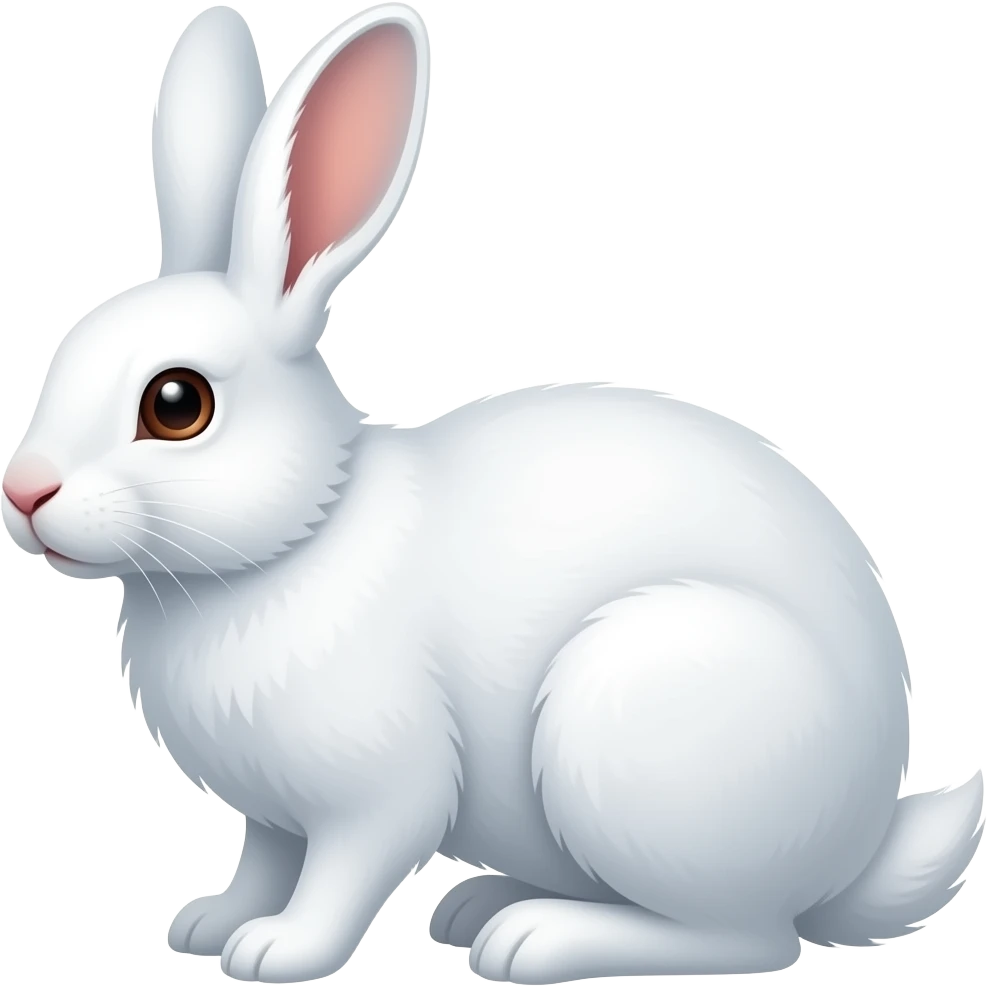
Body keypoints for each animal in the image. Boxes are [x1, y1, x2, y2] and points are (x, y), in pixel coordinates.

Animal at [2, 3, 983, 984]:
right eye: (65, 347)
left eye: (177, 404)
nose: (24, 490)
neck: (299, 534)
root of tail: (853, 852)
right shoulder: (273, 810)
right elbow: (265, 860)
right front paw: (210, 922)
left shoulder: (378, 792)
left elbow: (341, 874)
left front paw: (278, 951)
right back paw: (479, 904)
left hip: (626, 725)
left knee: (747, 937)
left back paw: (533, 937)